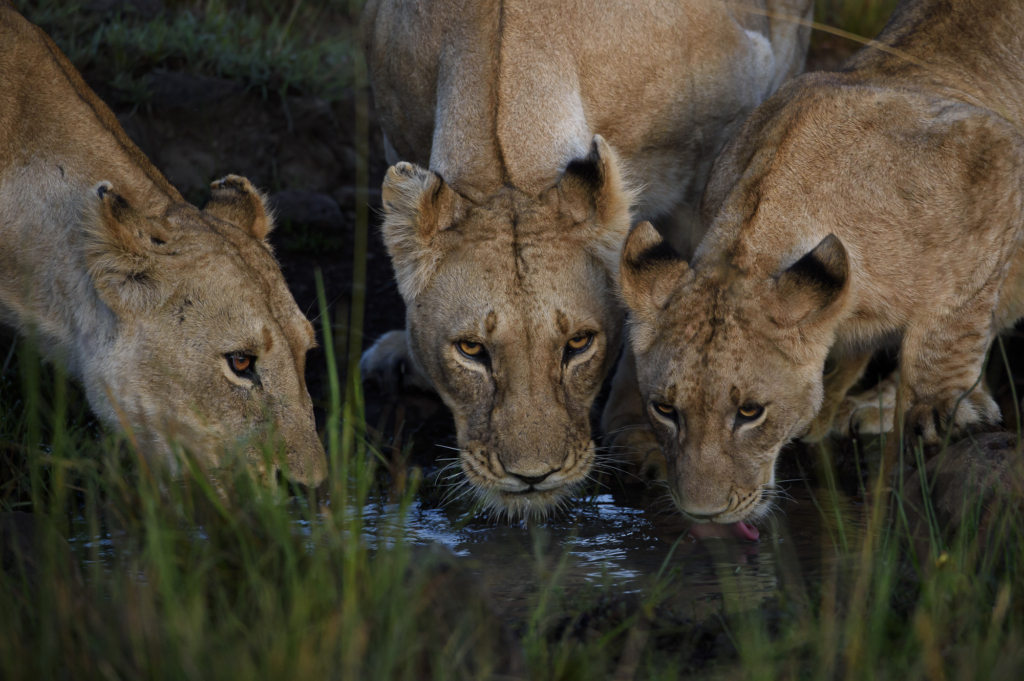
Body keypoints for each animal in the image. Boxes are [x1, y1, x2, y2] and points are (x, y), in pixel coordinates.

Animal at [360, 0, 815, 512]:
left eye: (578, 343)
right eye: (471, 349)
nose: (532, 477)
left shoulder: (708, 166)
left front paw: (640, 435)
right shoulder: (398, 137)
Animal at [614, 0, 1024, 524]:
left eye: (750, 413)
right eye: (665, 410)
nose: (702, 514)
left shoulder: (994, 150)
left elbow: (957, 317)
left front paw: (941, 406)